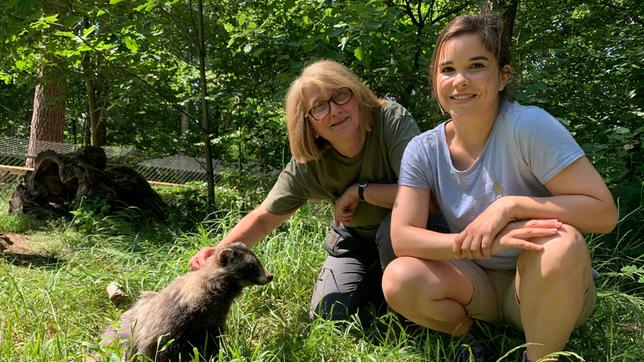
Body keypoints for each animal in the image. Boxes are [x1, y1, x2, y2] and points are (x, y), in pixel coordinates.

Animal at [102, 242, 272, 360]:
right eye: (250, 266)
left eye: (257, 261)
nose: (270, 276)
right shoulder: (174, 317)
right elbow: (157, 347)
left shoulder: (214, 318)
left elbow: (212, 340)